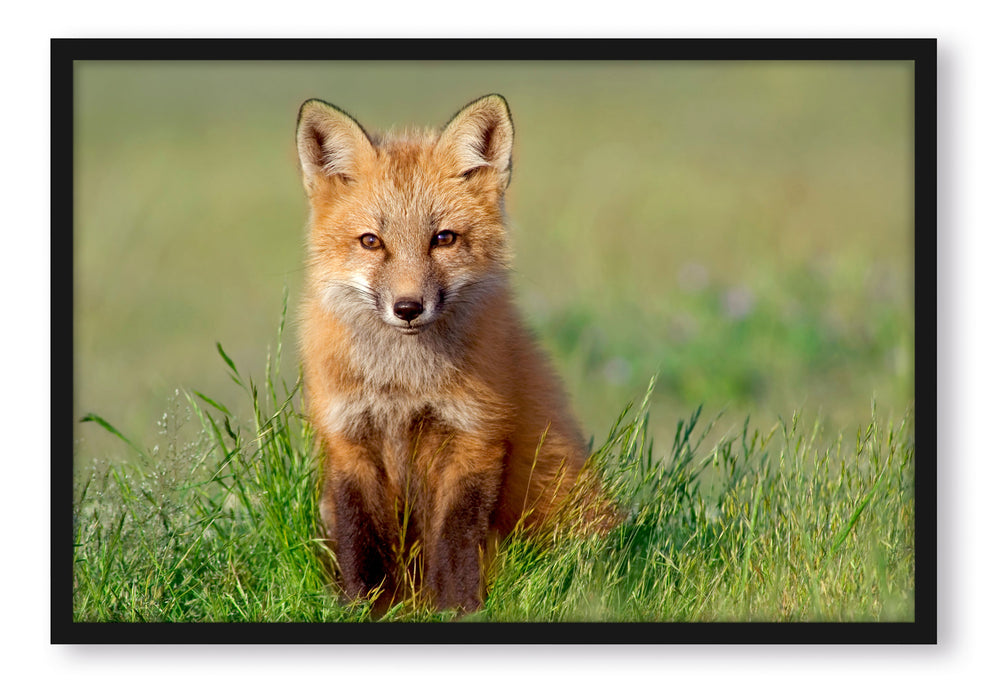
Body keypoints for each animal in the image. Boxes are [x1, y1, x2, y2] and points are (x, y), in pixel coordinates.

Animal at [294, 94, 604, 612]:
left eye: (443, 238)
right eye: (371, 241)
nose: (407, 308)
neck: (402, 385)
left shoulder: (474, 436)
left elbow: (455, 542)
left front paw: (457, 610)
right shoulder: (348, 439)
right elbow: (360, 542)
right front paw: (363, 608)